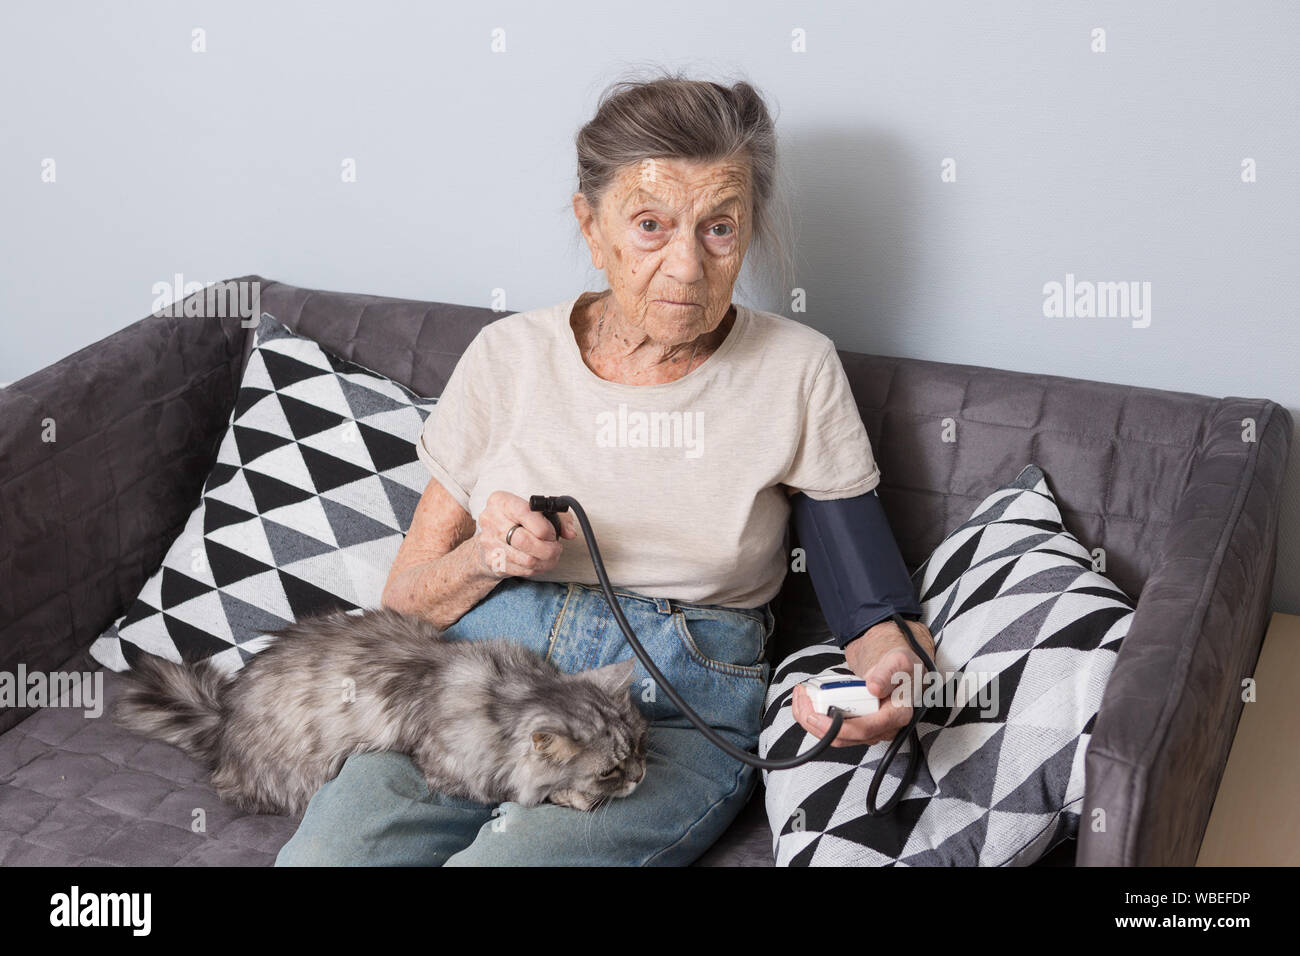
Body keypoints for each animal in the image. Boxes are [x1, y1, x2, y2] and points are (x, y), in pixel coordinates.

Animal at [114, 606, 650, 816]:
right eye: (609, 771)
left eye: (641, 744)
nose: (641, 775)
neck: (509, 695)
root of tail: (222, 716)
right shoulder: (449, 767)